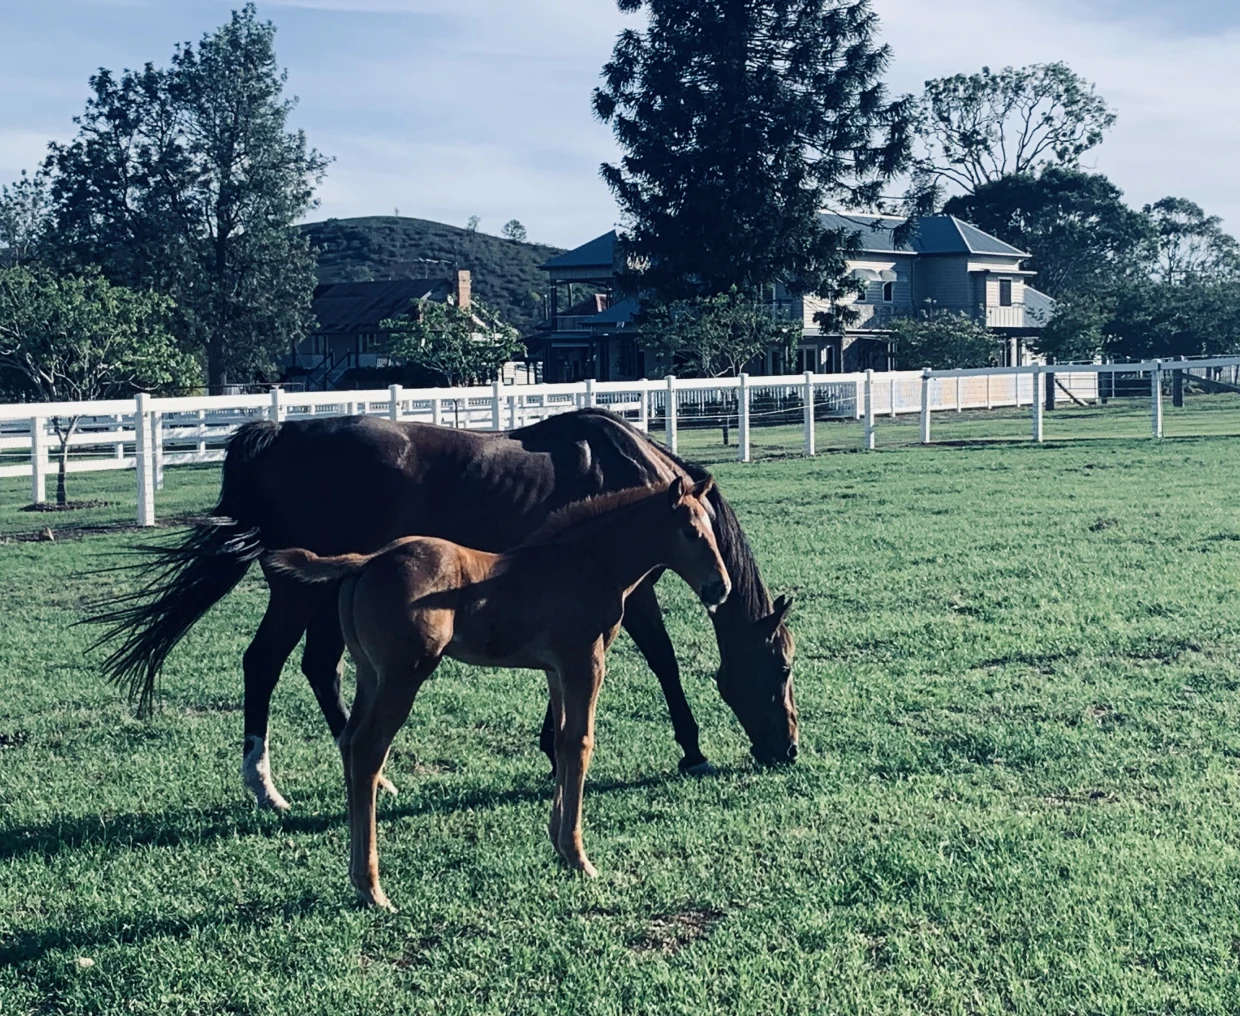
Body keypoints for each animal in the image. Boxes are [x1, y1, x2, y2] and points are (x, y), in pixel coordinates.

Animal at [89, 408, 796, 811]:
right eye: (784, 669)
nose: (787, 749)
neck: (627, 473)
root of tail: (282, 431)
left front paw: (550, 747)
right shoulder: (635, 589)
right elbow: (664, 661)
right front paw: (692, 749)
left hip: (325, 592)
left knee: (319, 668)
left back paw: (370, 776)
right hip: (297, 590)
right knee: (262, 663)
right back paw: (265, 786)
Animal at [266, 477, 730, 908]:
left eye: (710, 527)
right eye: (690, 532)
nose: (719, 588)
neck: (589, 562)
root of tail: (370, 560)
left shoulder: (557, 671)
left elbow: (562, 744)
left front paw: (560, 846)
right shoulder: (585, 664)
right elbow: (581, 744)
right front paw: (580, 857)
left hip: (370, 674)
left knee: (348, 742)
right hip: (403, 676)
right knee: (367, 749)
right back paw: (372, 887)